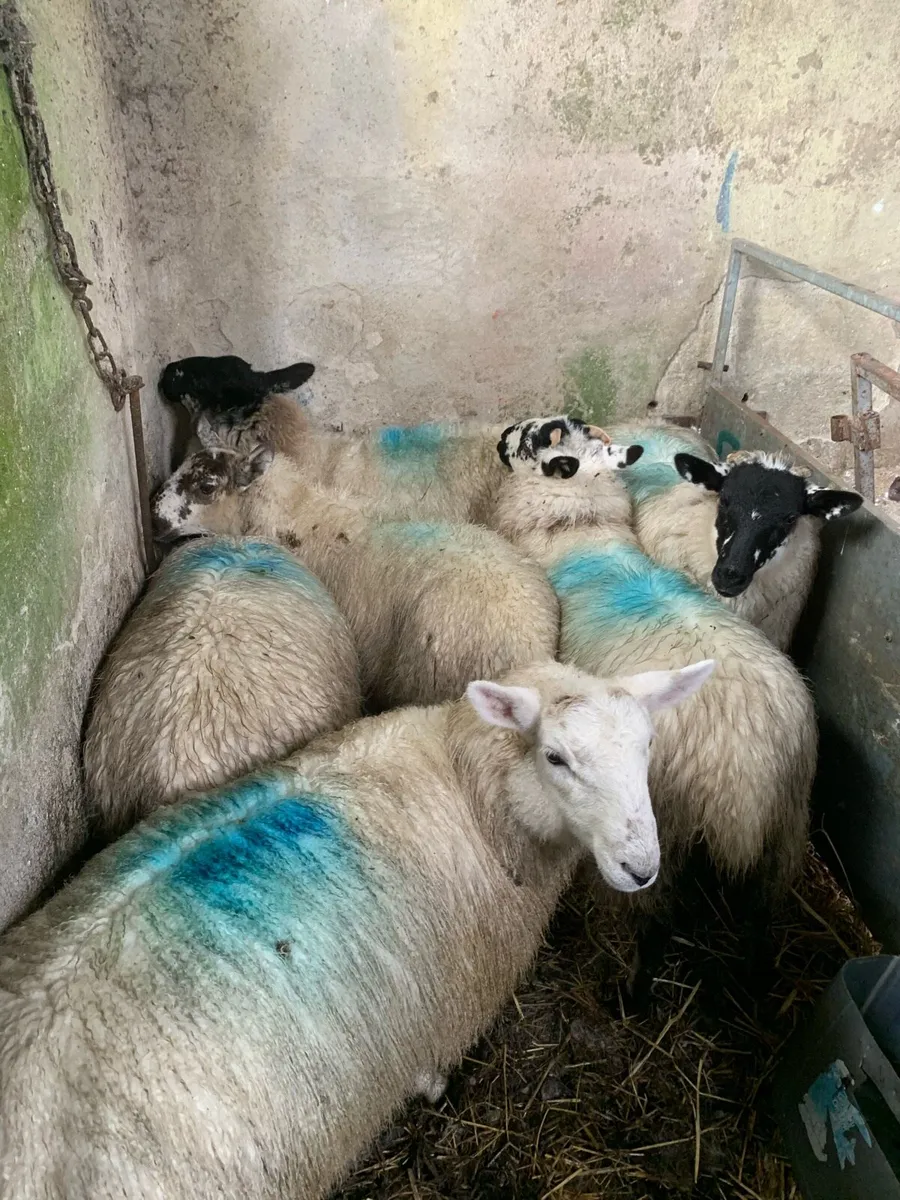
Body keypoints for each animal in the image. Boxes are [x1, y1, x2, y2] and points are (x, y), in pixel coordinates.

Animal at [0, 656, 714, 1200]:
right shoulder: (441, 1009)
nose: (641, 868)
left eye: (649, 746)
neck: (469, 786)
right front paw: (434, 1090)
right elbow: (428, 1069)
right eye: (557, 757)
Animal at [491, 415, 818, 1007]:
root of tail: (746, 779)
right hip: (784, 836)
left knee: (657, 921)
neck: (580, 534)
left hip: (663, 832)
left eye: (531, 439)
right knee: (761, 926)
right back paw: (758, 1001)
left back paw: (635, 997)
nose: (498, 434)